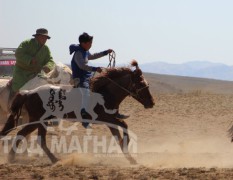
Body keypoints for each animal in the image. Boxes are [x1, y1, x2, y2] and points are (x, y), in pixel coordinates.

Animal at [0, 60, 156, 163]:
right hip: (36, 120)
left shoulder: (110, 121)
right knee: (22, 134)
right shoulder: (106, 118)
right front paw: (128, 147)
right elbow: (124, 125)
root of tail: (29, 93)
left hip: (40, 122)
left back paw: (55, 160)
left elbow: (119, 134)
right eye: (141, 83)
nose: (151, 102)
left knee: (39, 139)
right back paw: (12, 158)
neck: (105, 93)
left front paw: (131, 159)